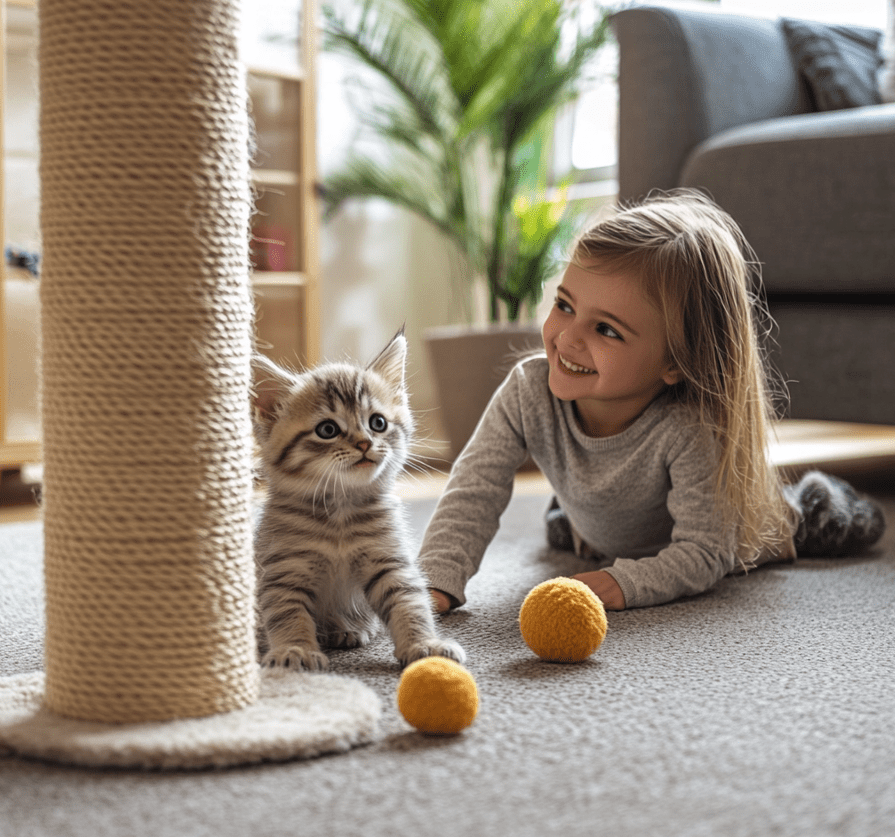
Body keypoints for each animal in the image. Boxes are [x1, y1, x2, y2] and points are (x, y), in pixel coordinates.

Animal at [250, 330, 466, 668]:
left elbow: (409, 603)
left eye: (378, 423)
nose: (365, 443)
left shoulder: (389, 561)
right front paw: (295, 649)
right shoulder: (284, 571)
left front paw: (425, 644)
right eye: (327, 429)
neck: (340, 510)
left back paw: (346, 629)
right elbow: (288, 614)